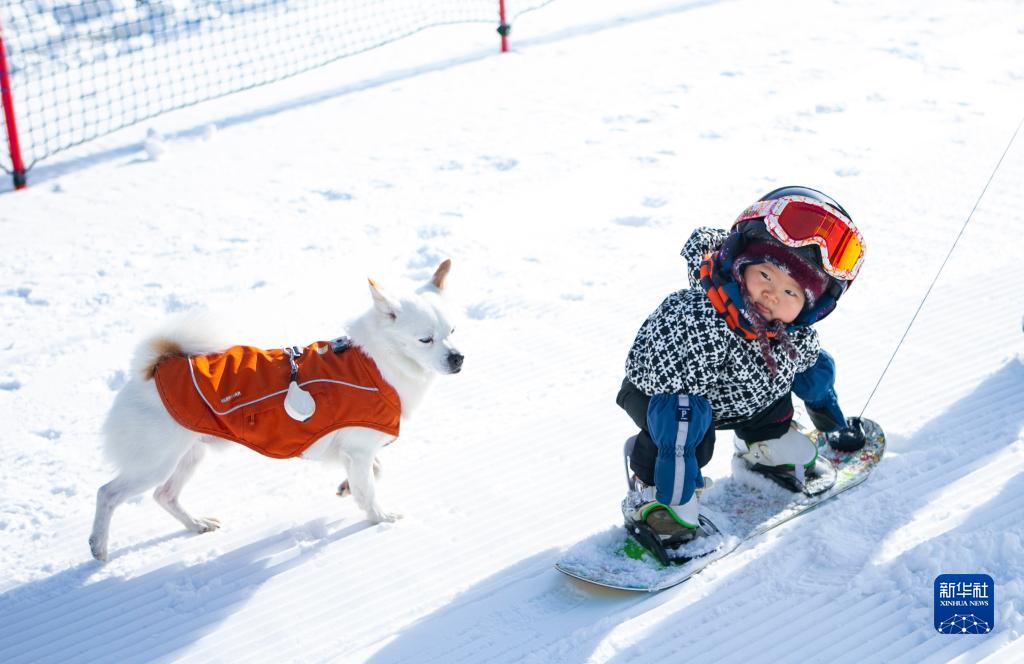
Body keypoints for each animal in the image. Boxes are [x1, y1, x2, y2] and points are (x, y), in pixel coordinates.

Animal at [91, 259, 460, 561]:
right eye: (425, 340)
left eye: (453, 331)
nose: (458, 358)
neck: (377, 363)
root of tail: (151, 369)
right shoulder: (358, 449)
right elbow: (369, 490)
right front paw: (379, 519)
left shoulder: (351, 450)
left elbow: (374, 473)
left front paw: (346, 487)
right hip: (155, 461)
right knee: (107, 493)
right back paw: (99, 546)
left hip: (190, 454)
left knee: (164, 495)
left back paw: (196, 524)